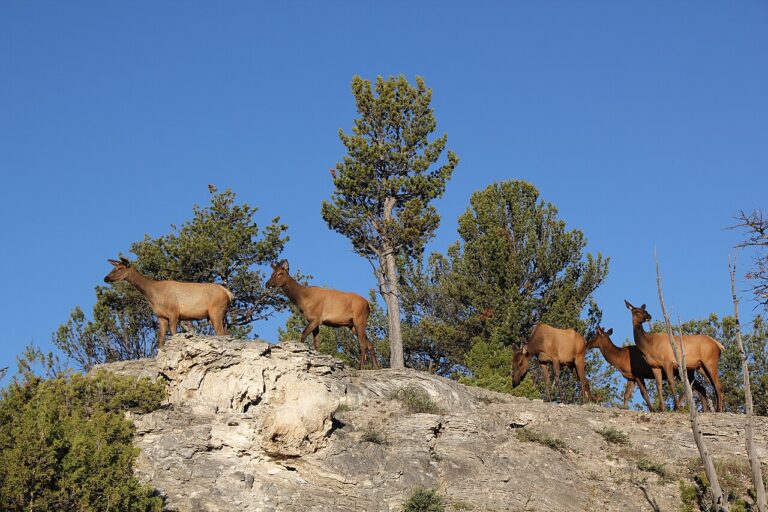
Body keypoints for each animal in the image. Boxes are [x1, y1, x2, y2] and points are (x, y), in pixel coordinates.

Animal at [104, 257, 233, 348]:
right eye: (114, 268)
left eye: (120, 268)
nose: (106, 278)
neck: (153, 295)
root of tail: (228, 293)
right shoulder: (162, 316)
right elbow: (160, 338)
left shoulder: (174, 312)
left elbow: (173, 333)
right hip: (216, 315)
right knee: (226, 332)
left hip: (216, 311)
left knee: (221, 333)